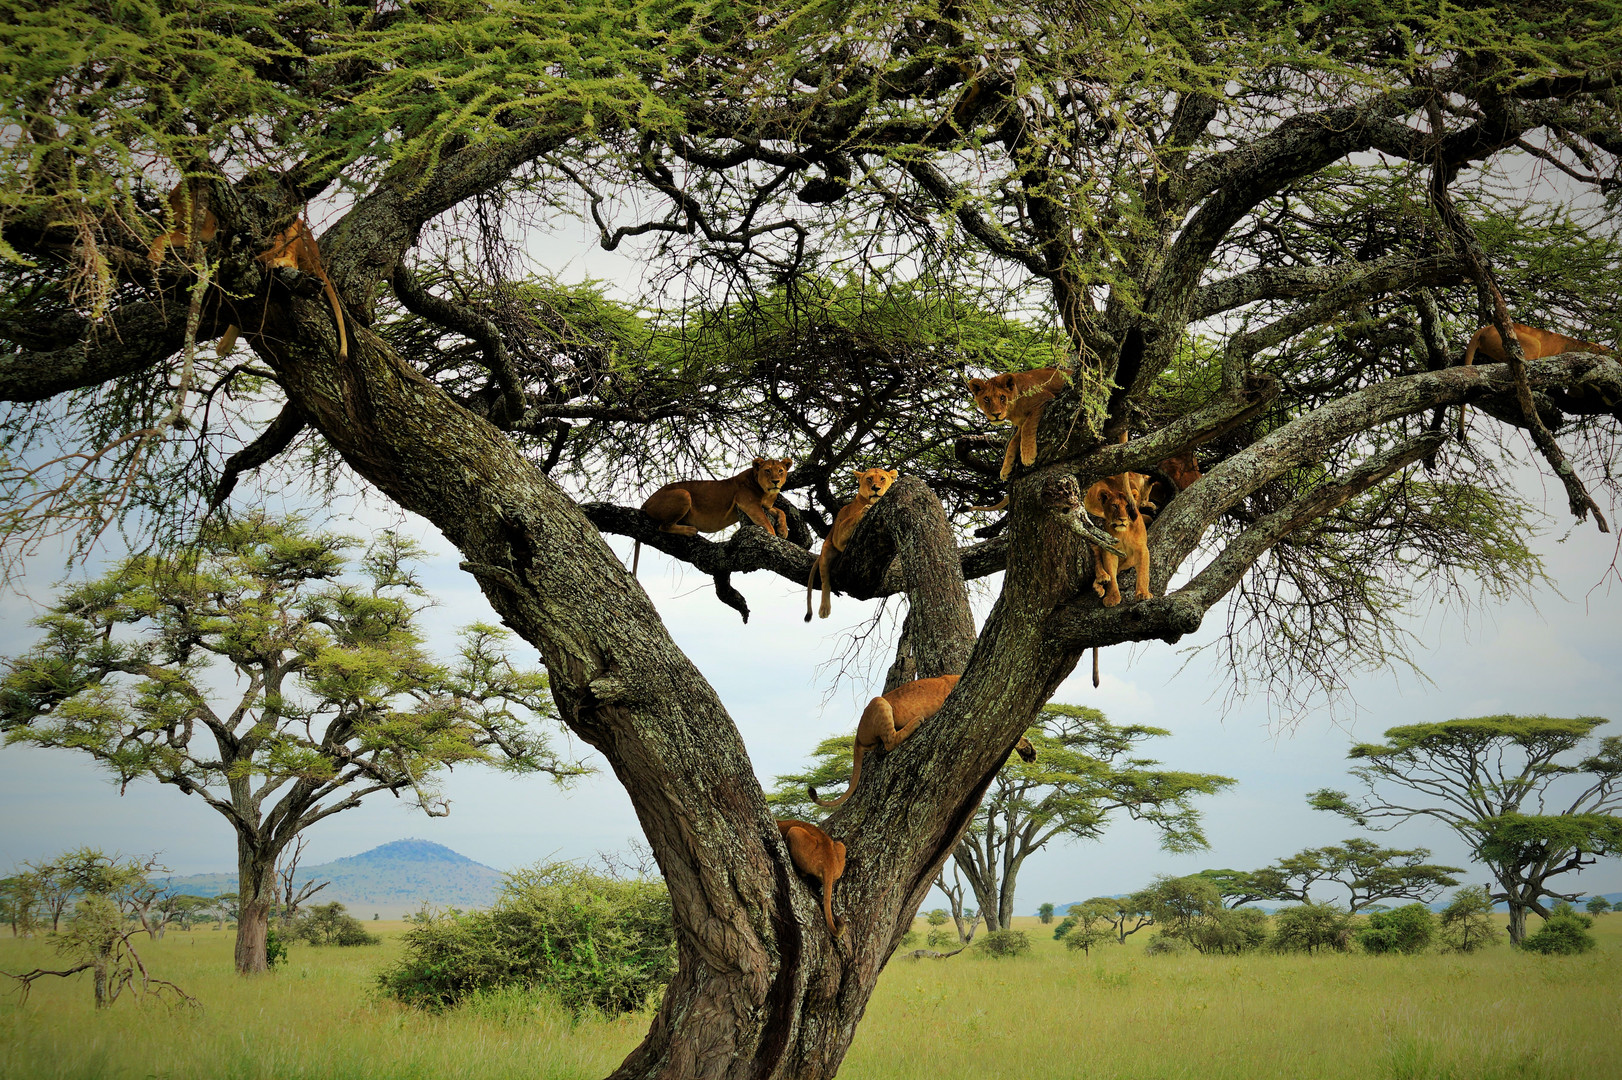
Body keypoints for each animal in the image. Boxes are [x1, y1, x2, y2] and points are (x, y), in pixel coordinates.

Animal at [632, 450, 791, 570]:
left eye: (780, 471)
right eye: (767, 470)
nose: (775, 481)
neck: (766, 492)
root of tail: (647, 501)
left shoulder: (766, 506)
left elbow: (781, 512)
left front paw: (783, 531)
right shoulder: (749, 504)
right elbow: (765, 521)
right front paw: (774, 539)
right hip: (684, 494)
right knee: (663, 526)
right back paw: (690, 530)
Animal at [807, 463, 901, 622]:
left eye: (882, 478)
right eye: (869, 479)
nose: (875, 488)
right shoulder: (838, 533)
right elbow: (852, 519)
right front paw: (865, 510)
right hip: (827, 550)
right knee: (825, 581)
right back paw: (824, 609)